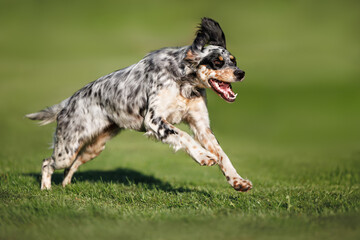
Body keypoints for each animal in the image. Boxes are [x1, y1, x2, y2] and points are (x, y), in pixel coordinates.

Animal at [26, 17, 253, 191]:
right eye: (217, 62)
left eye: (234, 61)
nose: (241, 73)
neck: (183, 83)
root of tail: (68, 102)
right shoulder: (153, 120)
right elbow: (183, 136)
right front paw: (203, 156)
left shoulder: (201, 126)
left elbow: (222, 155)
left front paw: (238, 181)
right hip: (68, 148)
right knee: (47, 163)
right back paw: (46, 189)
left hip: (93, 147)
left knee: (70, 167)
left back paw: (65, 186)